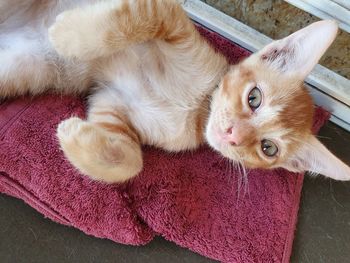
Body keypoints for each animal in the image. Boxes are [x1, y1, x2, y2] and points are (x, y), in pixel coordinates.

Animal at [0, 0, 350, 183]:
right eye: (254, 98)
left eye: (268, 148)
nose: (233, 135)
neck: (196, 109)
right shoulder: (169, 18)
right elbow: (126, 22)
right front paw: (67, 33)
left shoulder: (111, 102)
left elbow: (130, 161)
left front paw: (74, 136)